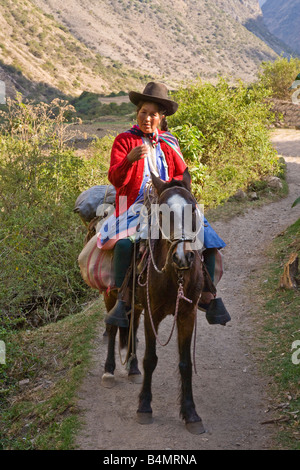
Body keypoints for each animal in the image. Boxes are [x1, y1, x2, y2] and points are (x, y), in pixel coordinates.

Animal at [102, 168, 205, 434]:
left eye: (192, 208)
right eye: (162, 213)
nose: (183, 256)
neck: (174, 276)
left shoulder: (187, 314)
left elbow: (185, 364)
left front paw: (191, 414)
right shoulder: (153, 314)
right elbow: (151, 359)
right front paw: (144, 407)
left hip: (136, 303)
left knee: (132, 326)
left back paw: (132, 368)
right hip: (111, 295)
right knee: (112, 326)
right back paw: (108, 371)